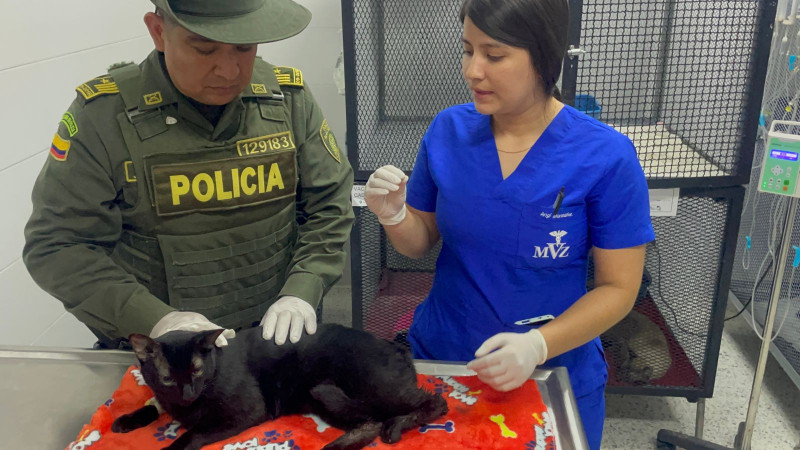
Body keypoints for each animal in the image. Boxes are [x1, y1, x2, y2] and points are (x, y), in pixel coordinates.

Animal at [111, 324, 446, 450]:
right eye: (167, 378)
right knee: (370, 424)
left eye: (197, 370)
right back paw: (334, 448)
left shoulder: (246, 412)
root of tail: (396, 346)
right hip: (328, 399)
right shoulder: (166, 400)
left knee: (435, 402)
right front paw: (126, 420)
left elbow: (194, 434)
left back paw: (397, 426)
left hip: (373, 388)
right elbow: (152, 405)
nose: (188, 394)